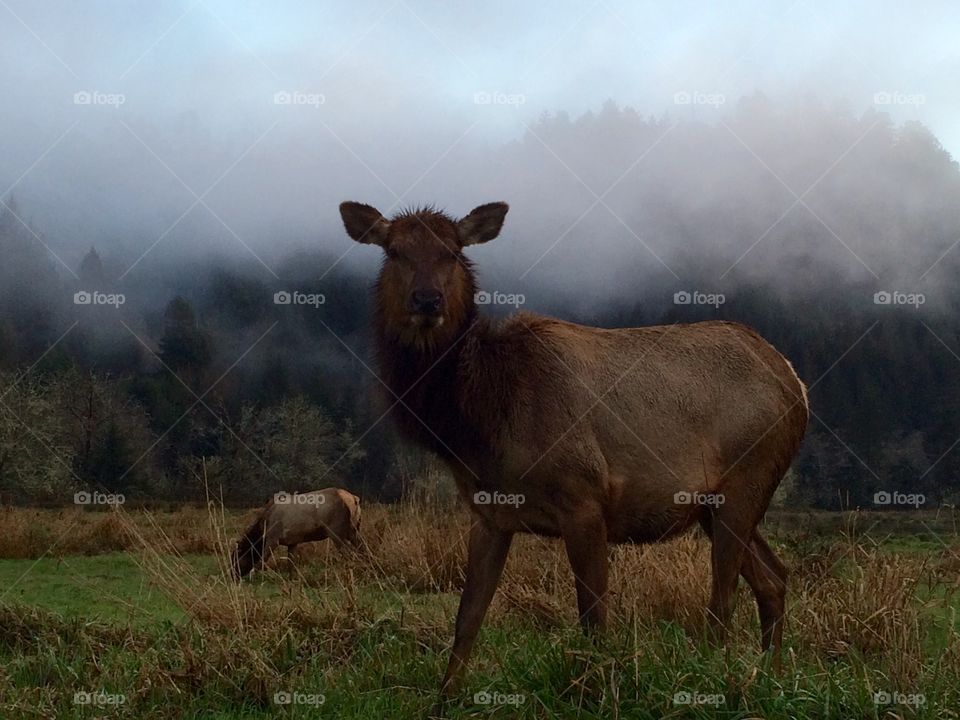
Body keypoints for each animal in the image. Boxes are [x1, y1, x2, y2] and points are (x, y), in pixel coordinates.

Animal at [338, 200, 808, 697]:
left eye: (453, 251)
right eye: (394, 251)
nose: (427, 300)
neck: (480, 422)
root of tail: (796, 382)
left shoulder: (585, 498)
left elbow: (594, 622)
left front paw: (595, 693)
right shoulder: (490, 514)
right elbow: (467, 620)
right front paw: (444, 699)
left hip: (747, 477)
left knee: (723, 600)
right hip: (712, 505)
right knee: (773, 579)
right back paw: (772, 677)